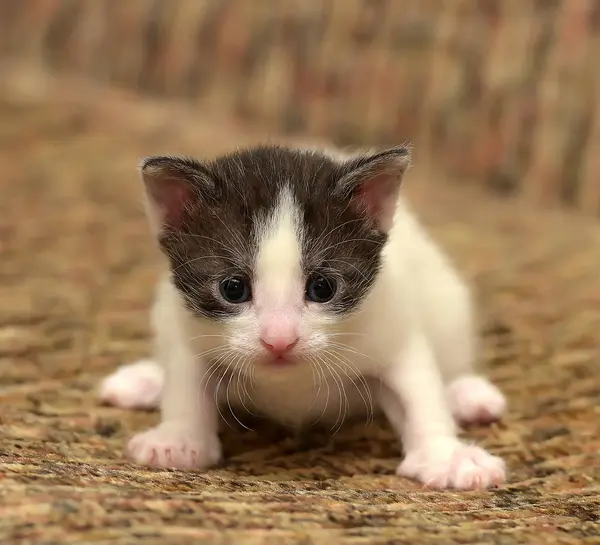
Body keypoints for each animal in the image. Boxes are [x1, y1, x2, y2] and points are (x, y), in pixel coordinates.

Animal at [98, 143, 506, 488]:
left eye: (322, 288)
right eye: (233, 288)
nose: (279, 340)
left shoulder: (392, 323)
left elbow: (419, 388)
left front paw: (447, 455)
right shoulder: (186, 326)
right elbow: (185, 378)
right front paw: (178, 440)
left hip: (449, 307)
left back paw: (466, 394)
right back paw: (147, 380)